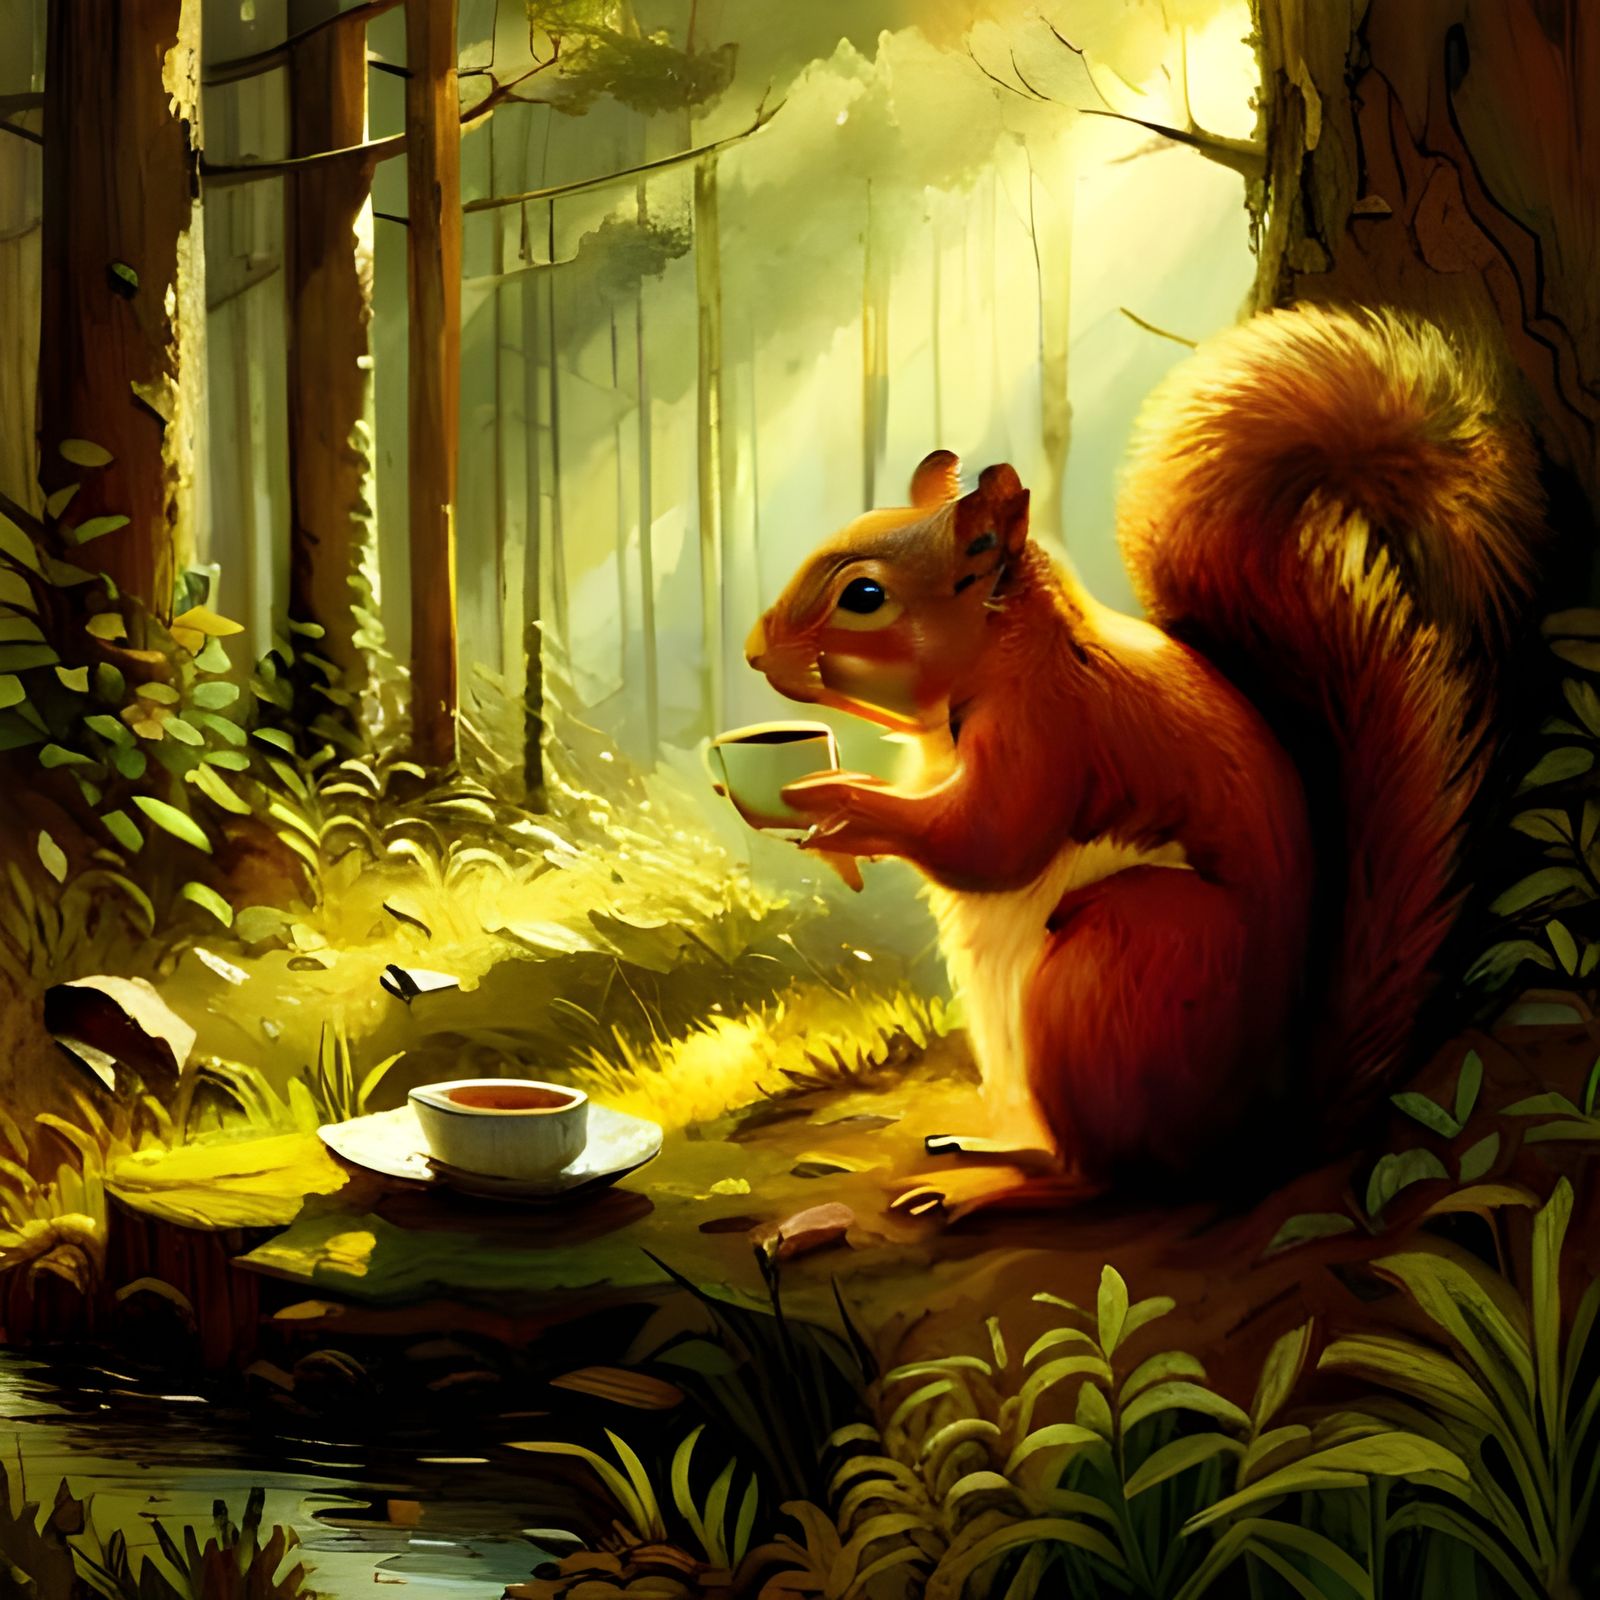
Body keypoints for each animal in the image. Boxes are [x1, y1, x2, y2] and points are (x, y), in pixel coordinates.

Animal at [743, 305, 1546, 1188]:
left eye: (864, 596)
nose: (754, 651)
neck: (1008, 654)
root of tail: (1257, 1134)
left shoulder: (1052, 726)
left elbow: (993, 840)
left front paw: (839, 805)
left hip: (1124, 958)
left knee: (1097, 1174)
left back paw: (996, 1181)